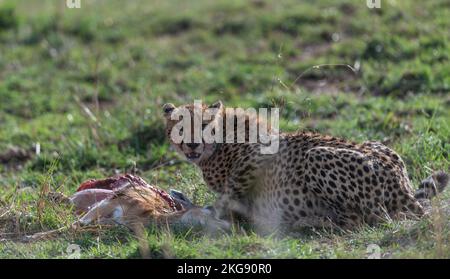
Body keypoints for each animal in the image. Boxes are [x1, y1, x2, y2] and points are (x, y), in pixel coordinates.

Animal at [163, 101, 448, 233]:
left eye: (203, 125)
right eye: (181, 126)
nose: (192, 144)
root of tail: (403, 188)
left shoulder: (259, 154)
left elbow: (229, 191)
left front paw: (209, 214)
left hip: (315, 156)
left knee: (363, 220)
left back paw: (308, 222)